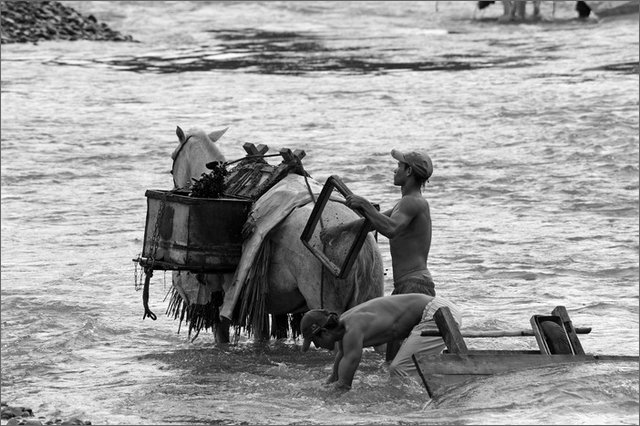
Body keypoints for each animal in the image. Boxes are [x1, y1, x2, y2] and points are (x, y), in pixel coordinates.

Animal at [168, 125, 384, 342]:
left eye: (172, 159)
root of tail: (362, 250)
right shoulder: (260, 302)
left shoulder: (218, 295)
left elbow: (222, 336)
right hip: (371, 297)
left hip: (327, 304)